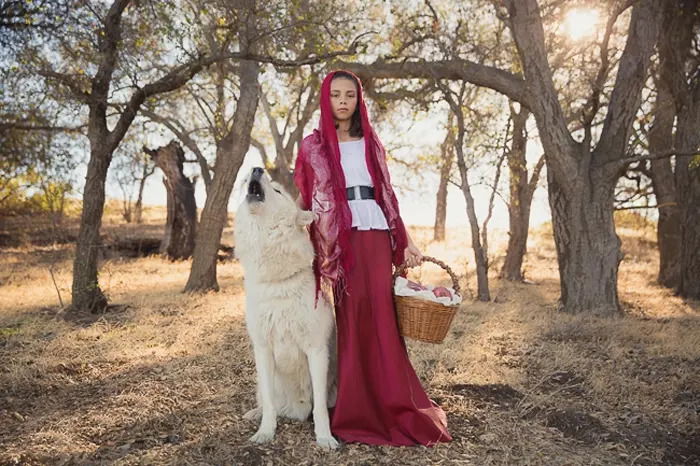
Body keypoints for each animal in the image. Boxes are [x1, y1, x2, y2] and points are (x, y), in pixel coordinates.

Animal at [235, 167, 340, 448]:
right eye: (245, 181)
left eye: (278, 190)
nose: (256, 168)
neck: (276, 281)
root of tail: (295, 409)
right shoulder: (262, 349)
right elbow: (270, 405)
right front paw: (265, 432)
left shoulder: (316, 350)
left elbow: (320, 409)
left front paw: (324, 437)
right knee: (265, 400)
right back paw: (255, 413)